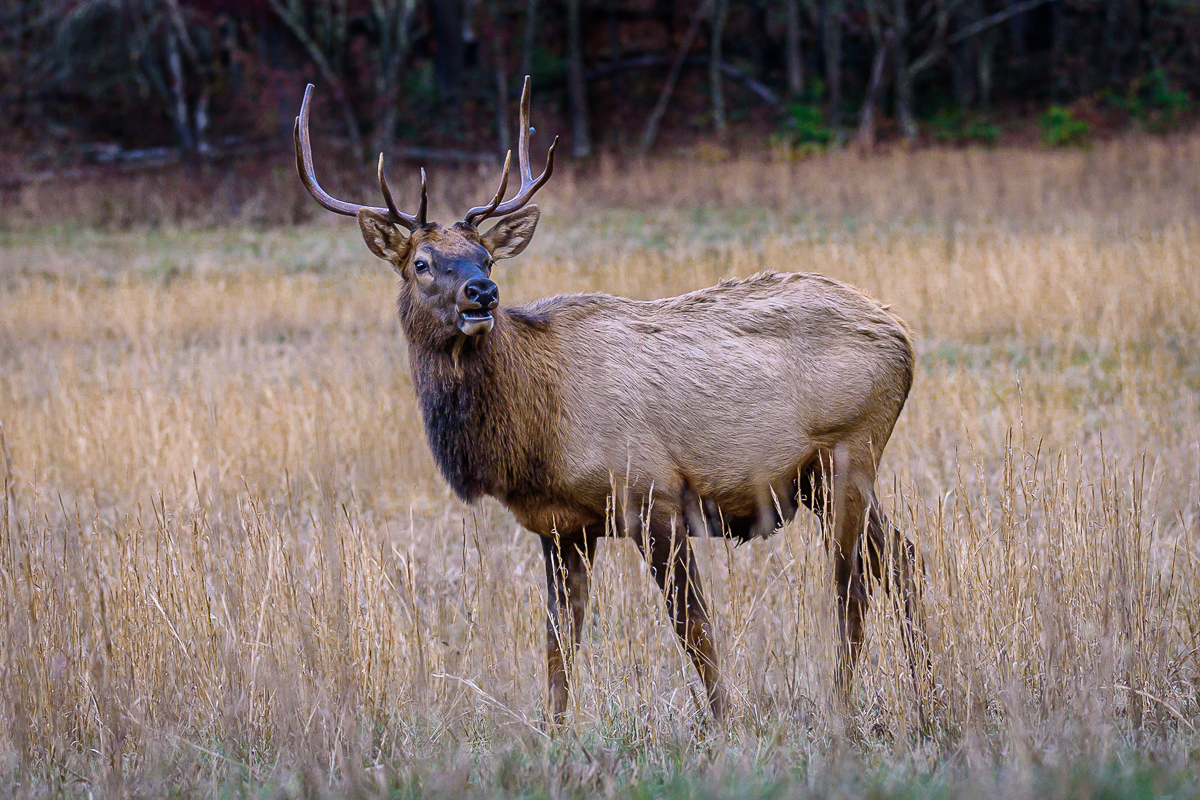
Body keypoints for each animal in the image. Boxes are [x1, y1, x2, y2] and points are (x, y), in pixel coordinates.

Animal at [295, 77, 921, 724]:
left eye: (486, 256)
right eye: (421, 263)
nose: (482, 292)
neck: (535, 431)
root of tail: (902, 337)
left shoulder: (654, 494)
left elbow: (693, 628)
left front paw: (725, 720)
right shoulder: (560, 526)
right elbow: (558, 640)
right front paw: (554, 728)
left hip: (849, 450)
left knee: (853, 582)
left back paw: (843, 702)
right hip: (823, 478)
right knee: (904, 559)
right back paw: (924, 686)